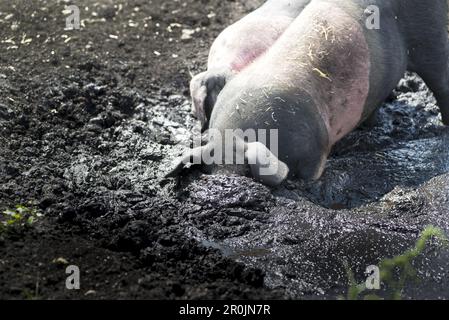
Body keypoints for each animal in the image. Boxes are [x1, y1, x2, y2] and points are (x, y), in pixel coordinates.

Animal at [168, 0, 448, 186]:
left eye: (247, 172)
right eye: (209, 169)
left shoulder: (316, 148)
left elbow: (312, 173)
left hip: (431, 38)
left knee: (441, 81)